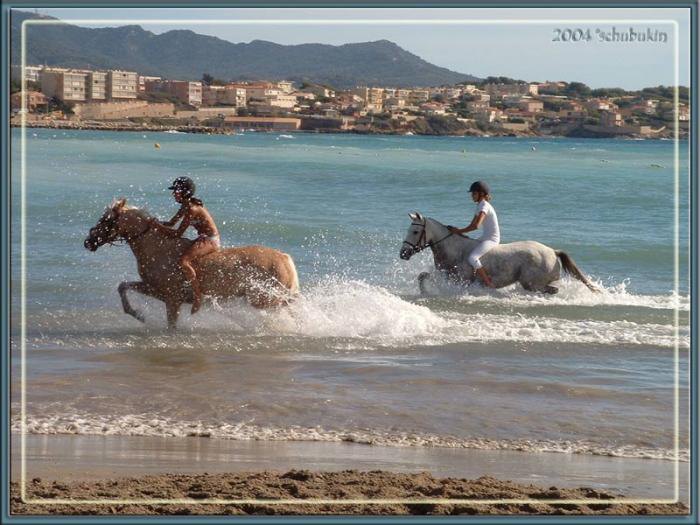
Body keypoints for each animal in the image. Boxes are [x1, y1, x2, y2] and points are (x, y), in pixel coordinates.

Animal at [83, 200, 300, 328]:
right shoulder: (156, 290)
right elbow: (123, 287)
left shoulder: (172, 299)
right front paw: (137, 314)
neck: (157, 249)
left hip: (266, 300)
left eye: (106, 219)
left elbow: (171, 326)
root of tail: (284, 258)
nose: (88, 242)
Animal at [396, 212, 600, 294]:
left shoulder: (459, 281)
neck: (454, 250)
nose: (403, 254)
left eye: (415, 231)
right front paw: (424, 292)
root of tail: (553, 251)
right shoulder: (445, 276)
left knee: (551, 290)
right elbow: (422, 276)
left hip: (531, 282)